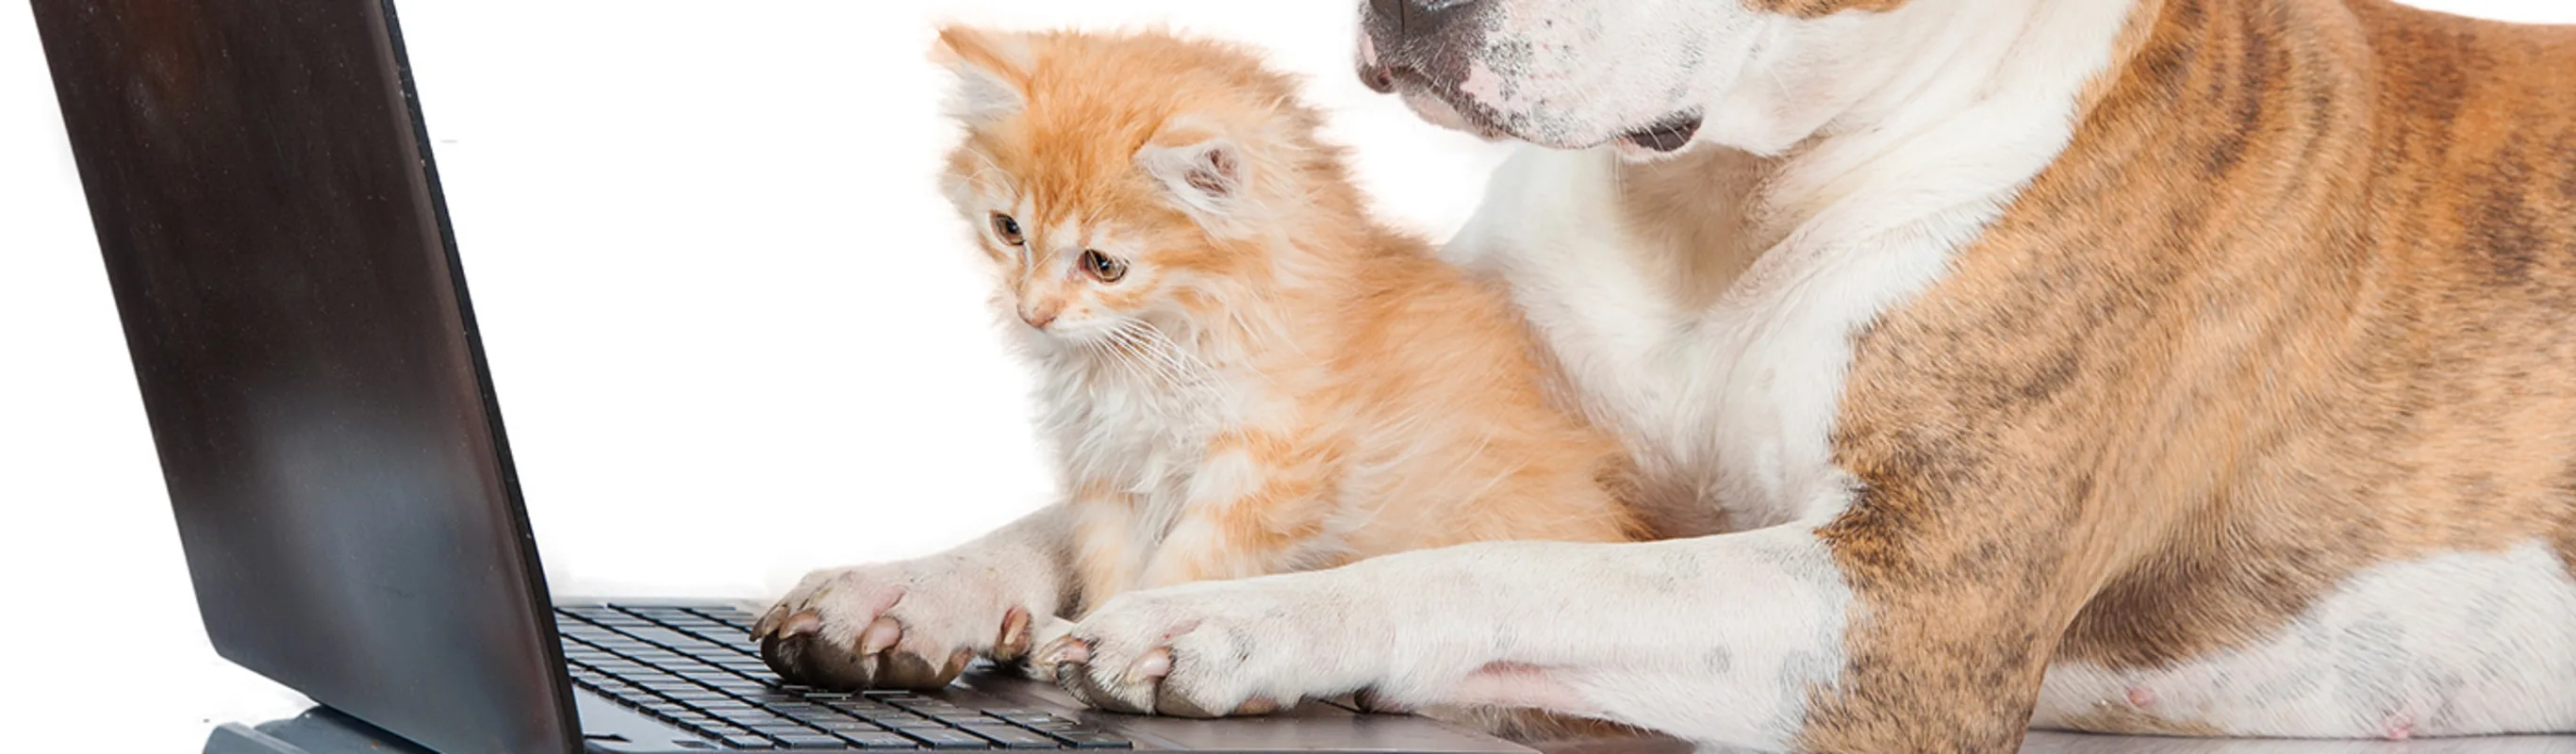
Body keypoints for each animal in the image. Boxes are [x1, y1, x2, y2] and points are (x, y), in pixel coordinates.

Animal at [937, 23, 1638, 638]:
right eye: (1008, 230)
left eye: (1103, 265)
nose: (1033, 312)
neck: (1163, 340)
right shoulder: (1107, 467)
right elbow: (1112, 562)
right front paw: (1074, 641)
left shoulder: (1270, 471)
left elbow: (1181, 571)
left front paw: (1114, 640)